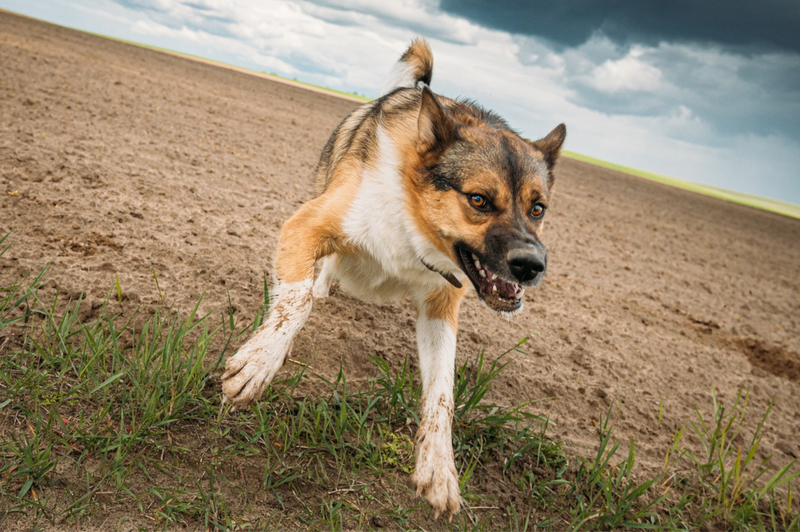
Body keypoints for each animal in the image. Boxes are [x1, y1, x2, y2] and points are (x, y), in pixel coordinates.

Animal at [222, 38, 564, 520]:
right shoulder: (305, 226)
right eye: (479, 200)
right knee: (317, 278)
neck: (412, 219)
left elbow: (443, 391)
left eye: (538, 208)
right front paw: (259, 363)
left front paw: (438, 466)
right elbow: (296, 302)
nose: (533, 265)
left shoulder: (442, 306)